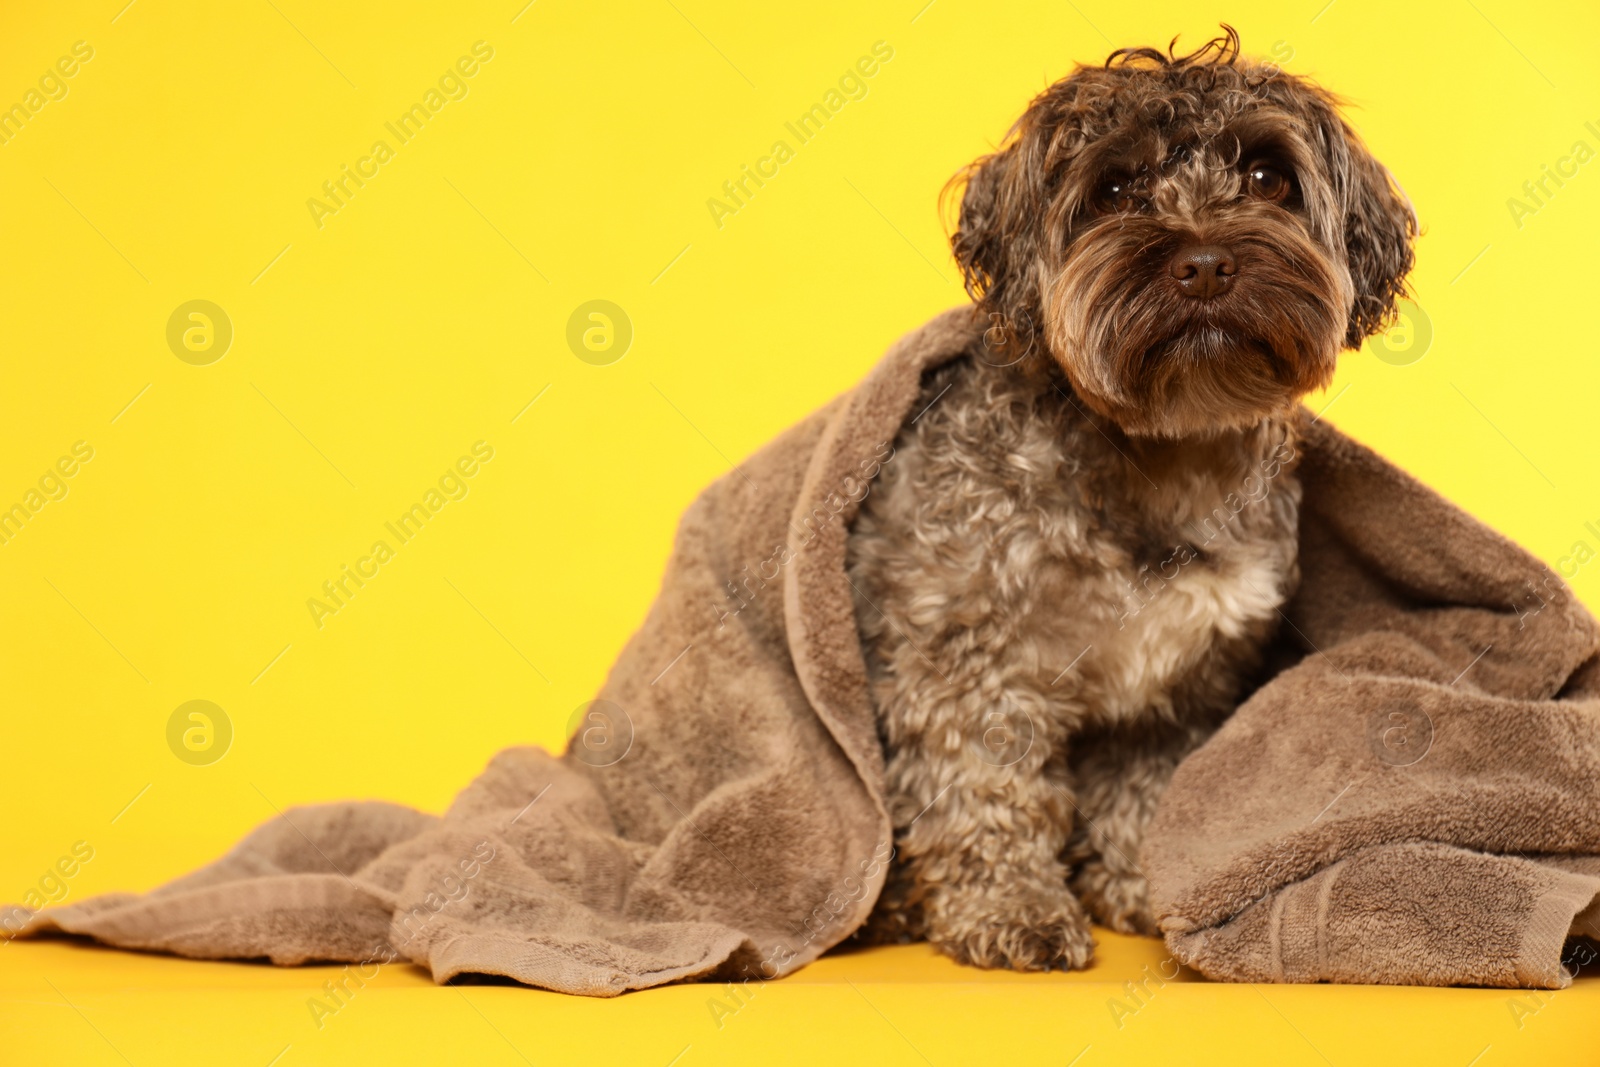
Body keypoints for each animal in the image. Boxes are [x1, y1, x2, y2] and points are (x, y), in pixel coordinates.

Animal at [844, 29, 1420, 972]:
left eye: (1268, 177)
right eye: (1113, 189)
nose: (1206, 262)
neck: (1159, 455)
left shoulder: (1178, 679)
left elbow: (1144, 790)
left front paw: (1141, 890)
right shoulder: (962, 653)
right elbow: (984, 788)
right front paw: (1014, 906)